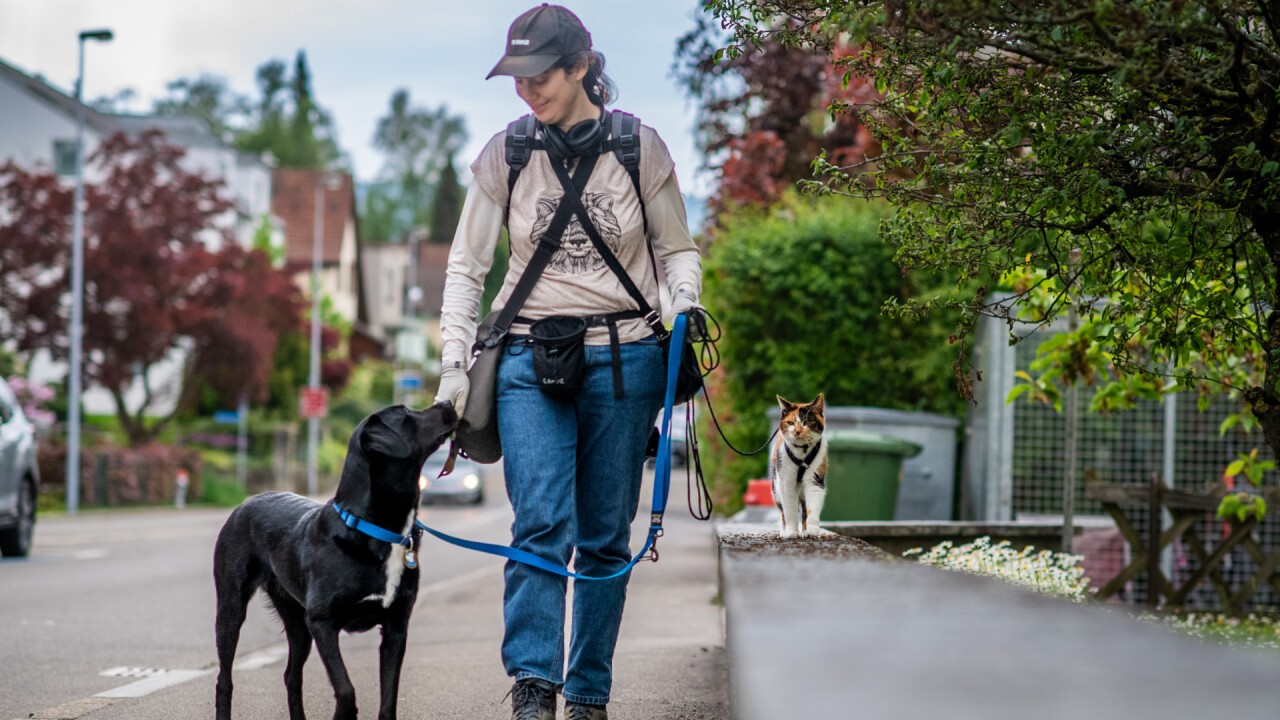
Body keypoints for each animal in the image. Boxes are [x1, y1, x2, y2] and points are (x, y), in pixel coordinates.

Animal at [209, 404, 450, 717]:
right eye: (407, 412)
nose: (448, 406)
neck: (374, 529)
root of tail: (246, 502)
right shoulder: (323, 622)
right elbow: (345, 688)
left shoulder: (396, 626)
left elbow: (388, 698)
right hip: (231, 609)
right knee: (224, 680)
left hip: (297, 622)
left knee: (291, 675)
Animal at [768, 392, 829, 538]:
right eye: (791, 422)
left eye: (807, 422)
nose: (797, 431)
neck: (802, 452)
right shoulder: (786, 482)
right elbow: (789, 510)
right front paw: (791, 532)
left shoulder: (815, 477)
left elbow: (812, 507)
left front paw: (812, 530)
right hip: (776, 488)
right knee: (783, 511)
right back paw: (783, 531)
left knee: (805, 509)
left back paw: (805, 531)